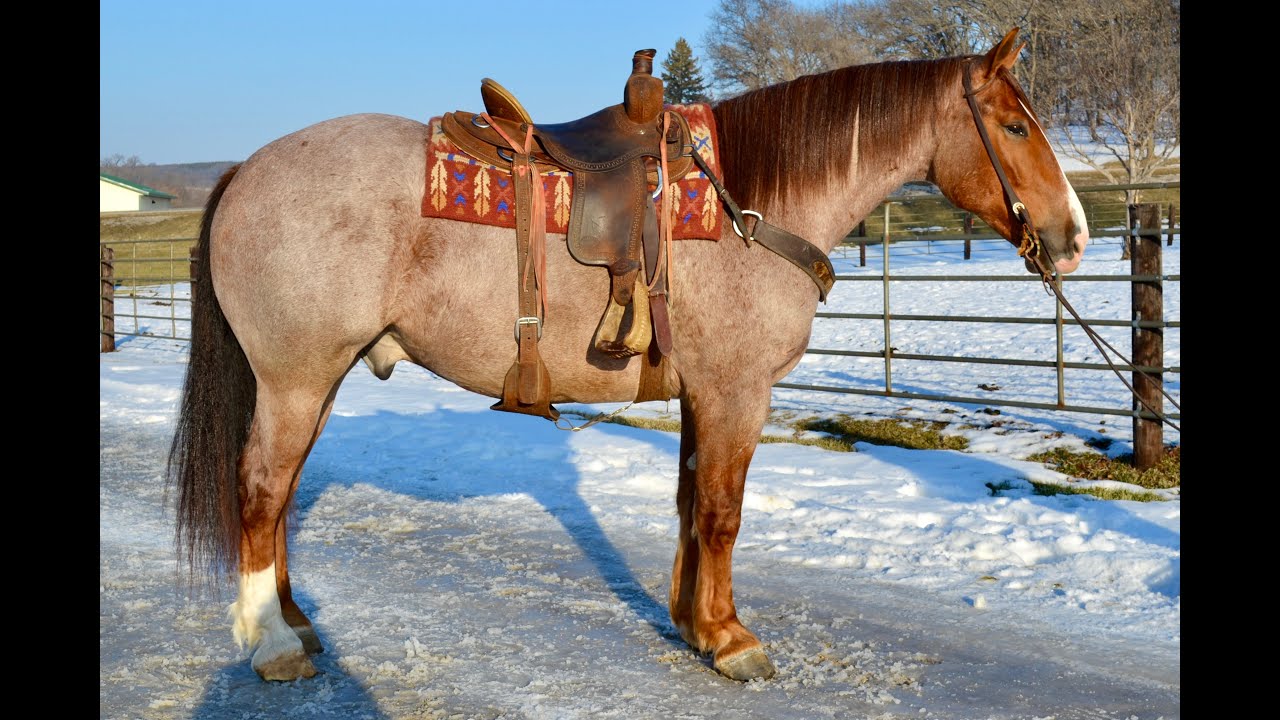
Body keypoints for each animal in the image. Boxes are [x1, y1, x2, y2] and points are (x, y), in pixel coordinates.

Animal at [169, 28, 1088, 684]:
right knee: (261, 490)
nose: (1072, 237)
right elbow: (721, 512)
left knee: (282, 495)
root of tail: (246, 169)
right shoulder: (735, 393)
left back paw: (294, 622)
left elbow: (691, 505)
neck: (749, 206)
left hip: (314, 379)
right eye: (1014, 125)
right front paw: (731, 641)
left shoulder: (700, 394)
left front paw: (695, 624)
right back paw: (271, 644)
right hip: (295, 377)